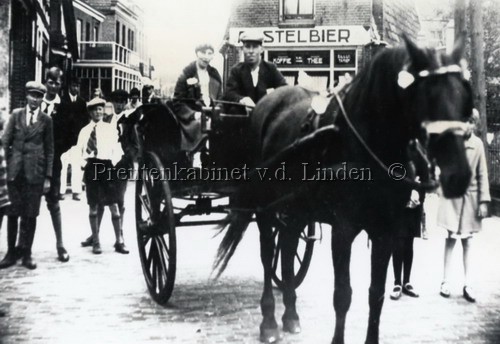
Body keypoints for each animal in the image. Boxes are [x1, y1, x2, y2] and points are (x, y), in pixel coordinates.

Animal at [213, 35, 474, 344]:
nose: (459, 175)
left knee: (286, 249)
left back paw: (291, 316)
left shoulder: (385, 231)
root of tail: (263, 105)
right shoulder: (343, 229)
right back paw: (269, 322)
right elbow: (342, 295)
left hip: (295, 210)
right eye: (428, 96)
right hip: (265, 207)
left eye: (464, 98)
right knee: (268, 256)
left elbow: (376, 295)